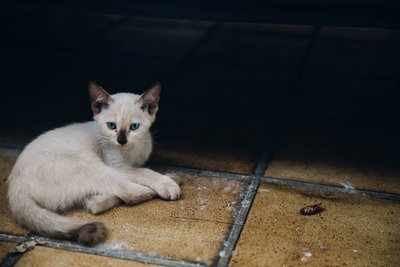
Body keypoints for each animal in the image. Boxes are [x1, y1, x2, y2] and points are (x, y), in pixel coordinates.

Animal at [6, 81, 180, 247]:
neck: (133, 150)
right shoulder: (118, 166)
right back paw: (173, 178)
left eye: (134, 127)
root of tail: (15, 186)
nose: (121, 140)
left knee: (92, 202)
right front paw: (166, 183)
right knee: (127, 194)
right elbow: (145, 172)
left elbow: (142, 169)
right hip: (93, 165)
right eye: (111, 125)